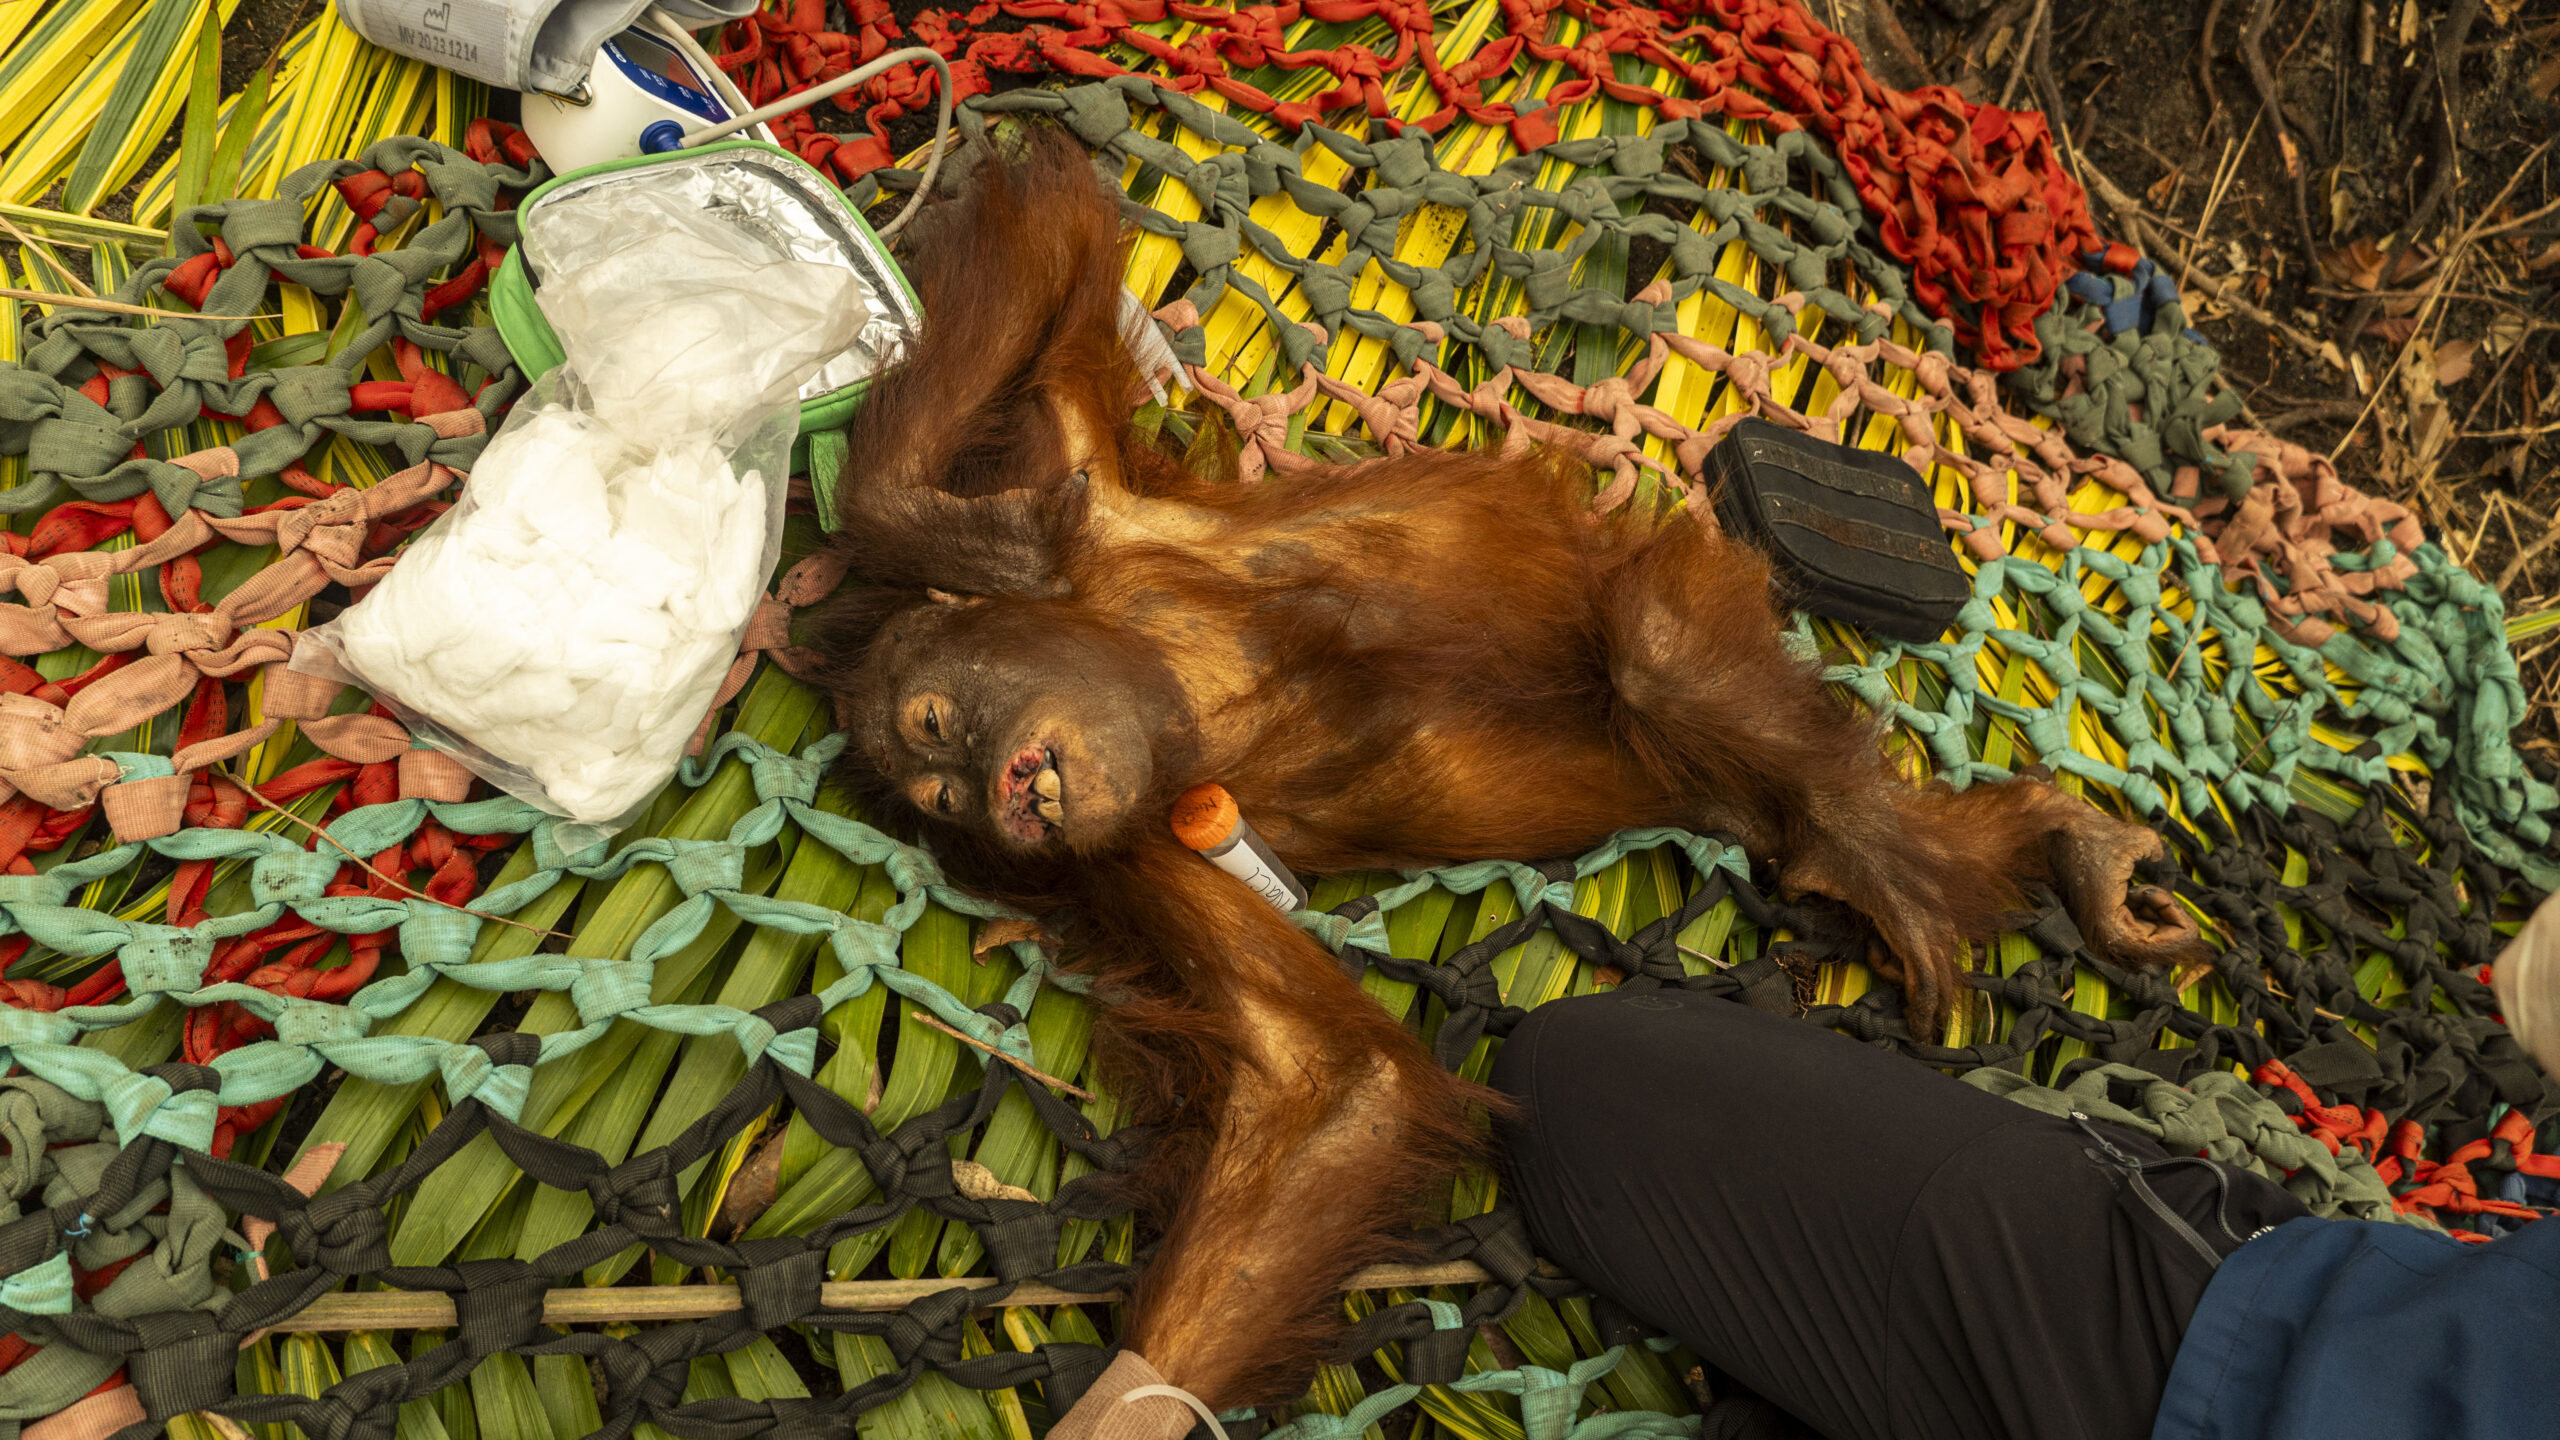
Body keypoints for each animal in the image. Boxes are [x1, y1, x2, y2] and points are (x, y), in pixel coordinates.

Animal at [808, 128, 2210, 1431]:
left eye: (938, 725)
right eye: (936, 799)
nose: (991, 788)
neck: (1171, 685)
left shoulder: (1100, 525)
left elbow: (1048, 263)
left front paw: (950, 536)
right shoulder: (1146, 852)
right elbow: (1330, 1086)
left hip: (1653, 582)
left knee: (1665, 663)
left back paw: (1925, 855)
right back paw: (2039, 849)